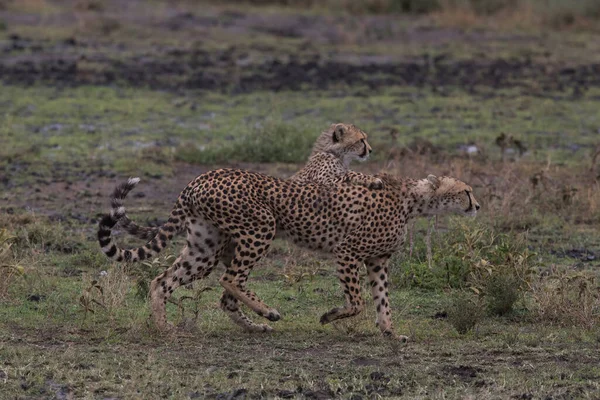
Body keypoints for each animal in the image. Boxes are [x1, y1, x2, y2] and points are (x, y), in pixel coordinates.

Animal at [99, 170, 482, 340]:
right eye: (466, 191)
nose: (477, 205)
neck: (411, 200)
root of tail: (200, 177)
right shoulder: (347, 252)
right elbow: (358, 302)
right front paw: (329, 316)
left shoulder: (377, 261)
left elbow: (382, 300)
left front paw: (390, 333)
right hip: (260, 227)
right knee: (230, 279)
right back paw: (267, 311)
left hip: (206, 247)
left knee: (164, 281)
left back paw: (166, 327)